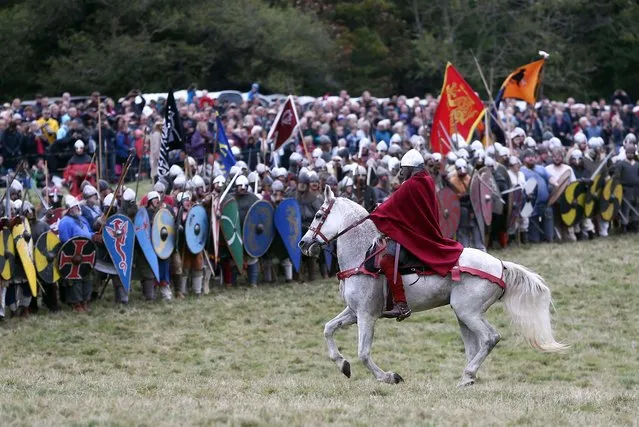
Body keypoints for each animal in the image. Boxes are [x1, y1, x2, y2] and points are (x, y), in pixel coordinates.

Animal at [298, 186, 568, 386]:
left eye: (319, 215)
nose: (303, 244)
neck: (363, 255)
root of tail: (500, 265)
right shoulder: (354, 312)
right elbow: (328, 328)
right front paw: (342, 364)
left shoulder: (366, 315)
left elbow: (363, 353)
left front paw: (388, 377)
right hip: (463, 313)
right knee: (474, 345)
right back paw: (468, 377)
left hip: (467, 311)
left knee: (491, 338)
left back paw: (468, 374)